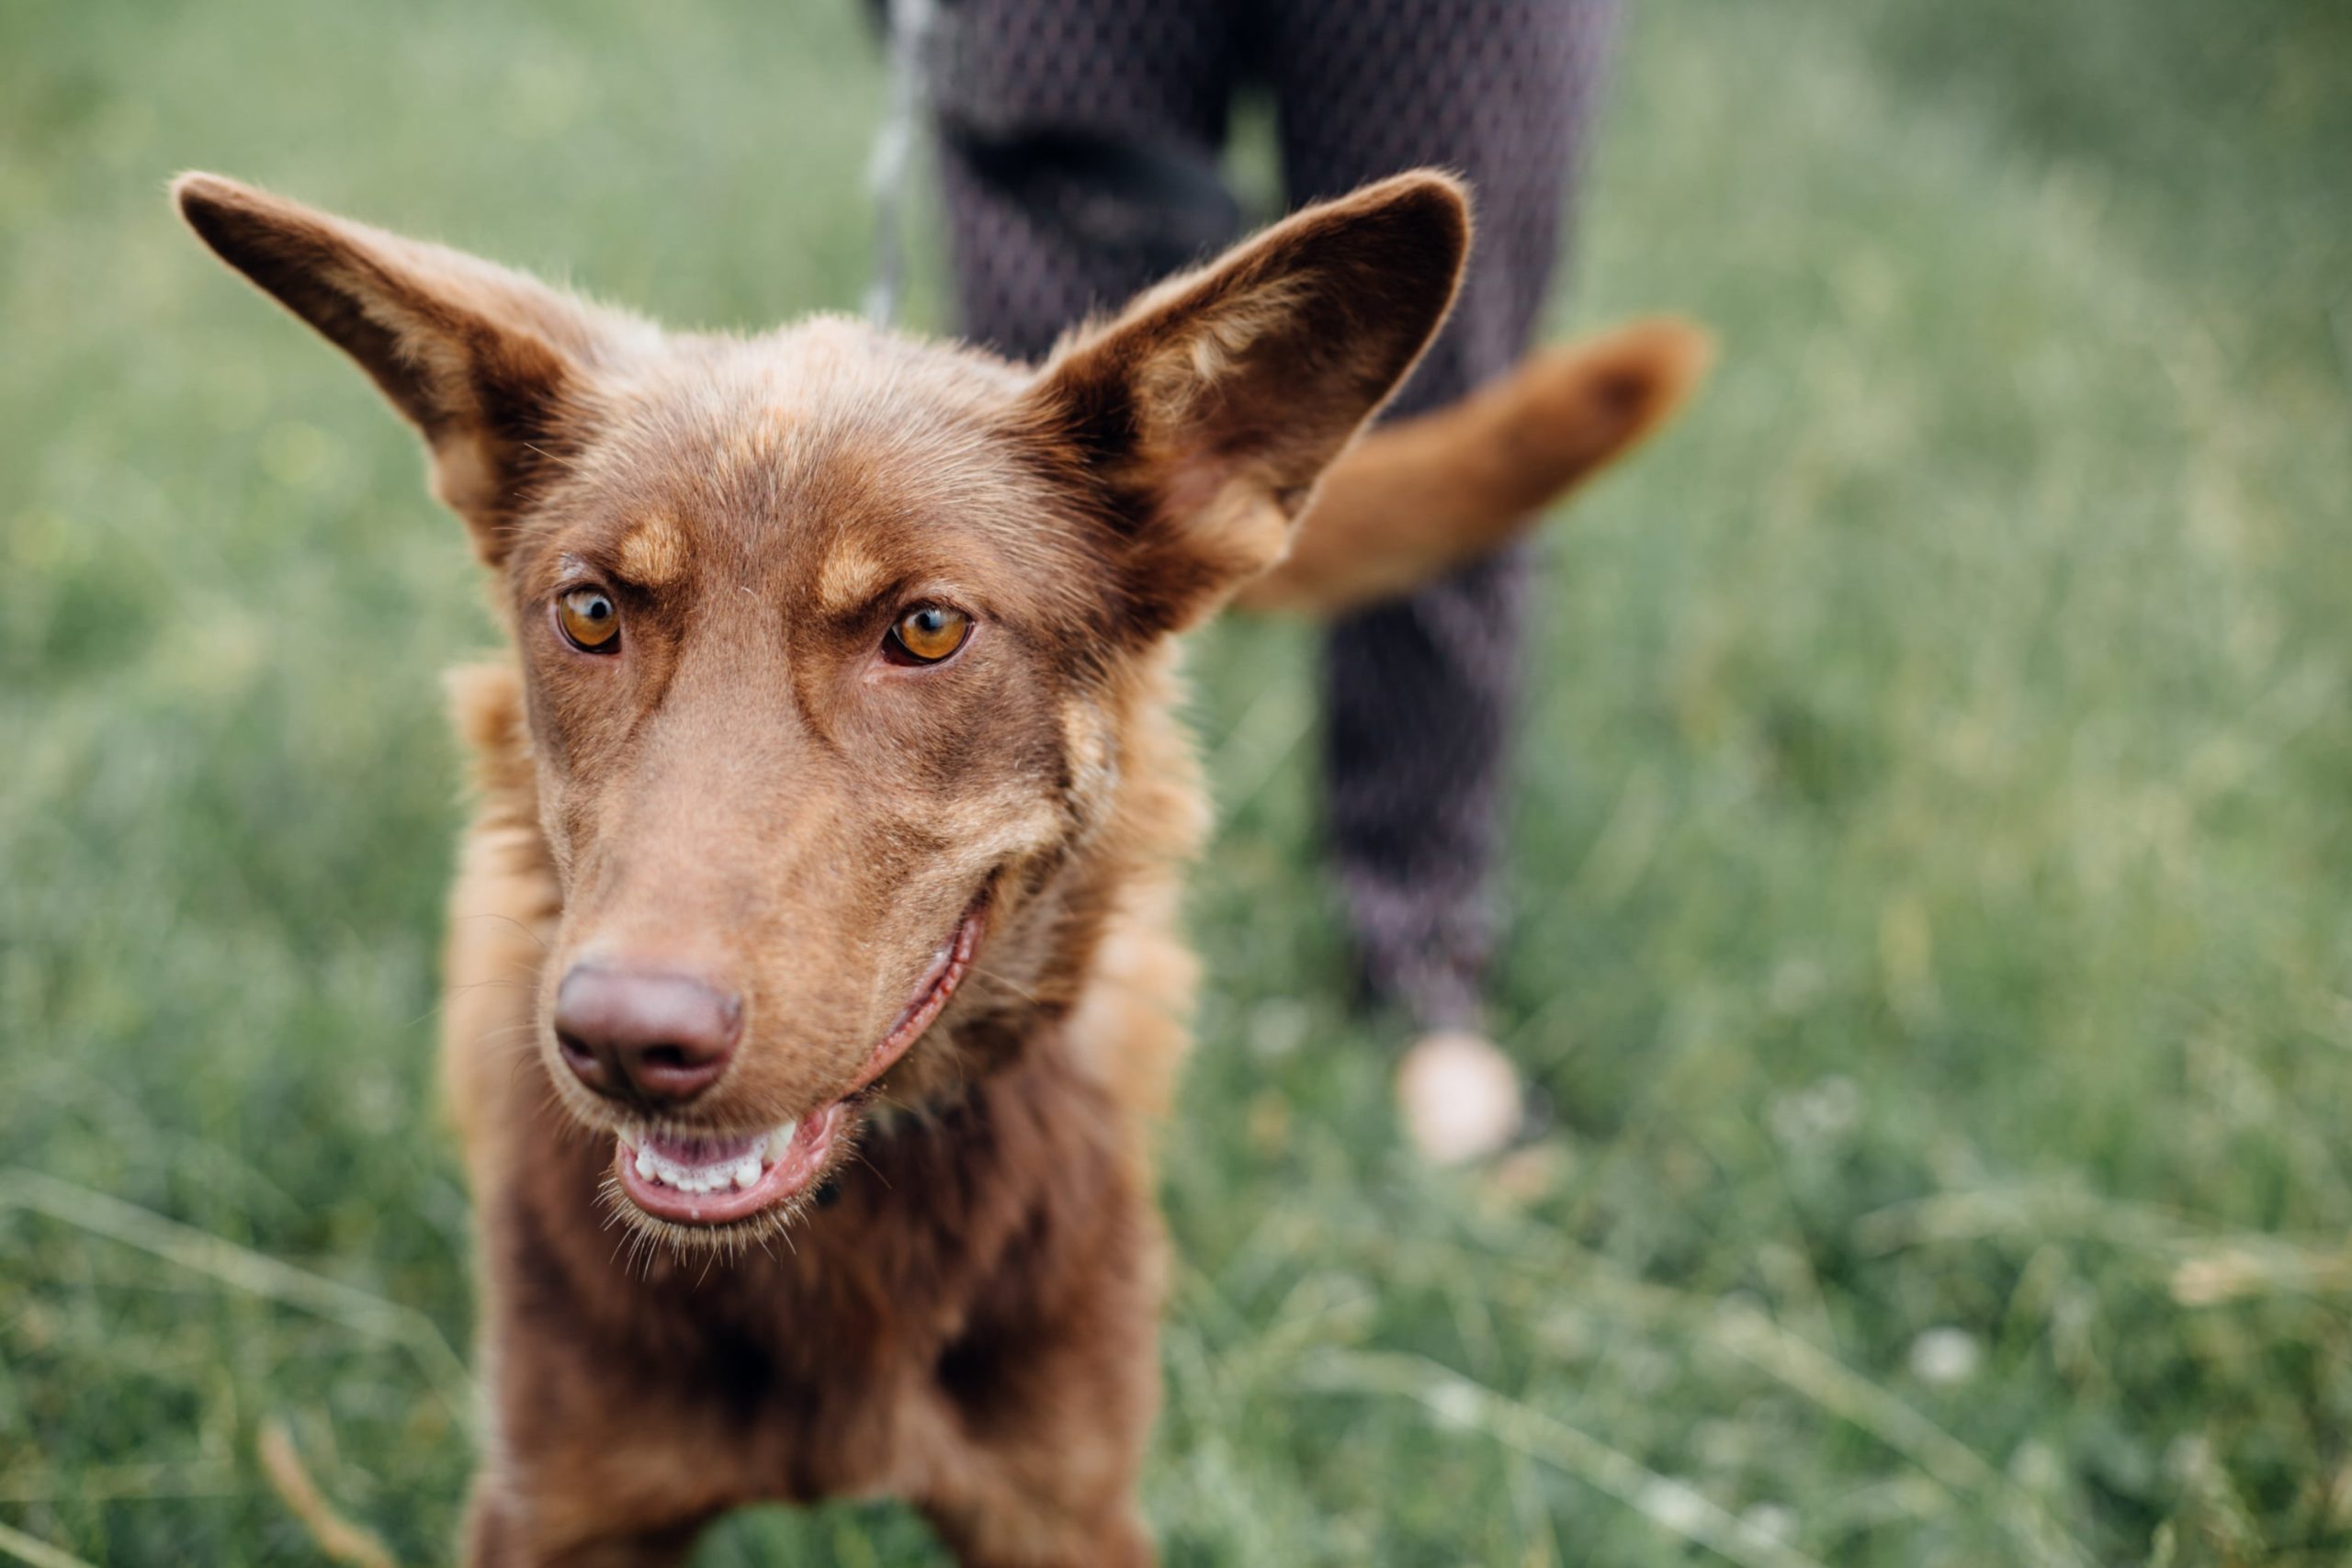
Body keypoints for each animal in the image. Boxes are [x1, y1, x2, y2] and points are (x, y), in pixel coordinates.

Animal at [174, 165, 1702, 1561]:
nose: (628, 1039)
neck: (842, 1234)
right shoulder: (561, 1502)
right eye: (592, 609)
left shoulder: (1063, 1503)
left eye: (924, 628)